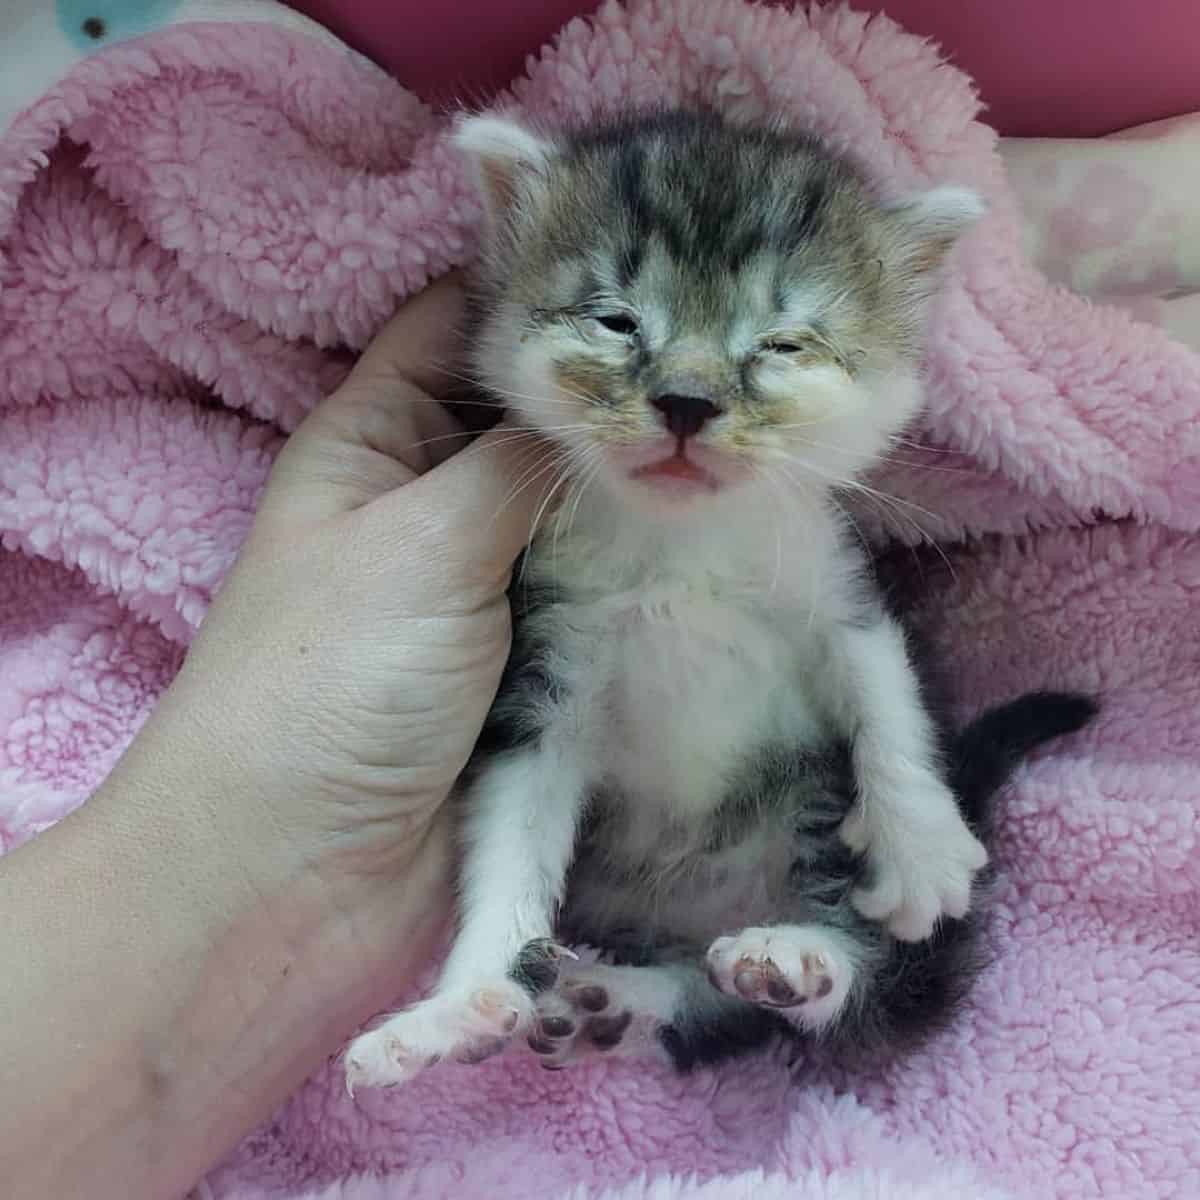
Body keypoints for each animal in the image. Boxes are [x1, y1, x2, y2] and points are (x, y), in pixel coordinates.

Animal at [343, 110, 1094, 1089]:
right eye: (617, 320)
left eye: (781, 343)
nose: (687, 402)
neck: (681, 547)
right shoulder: (549, 657)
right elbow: (512, 829)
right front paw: (461, 1005)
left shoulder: (834, 579)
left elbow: (884, 687)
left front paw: (920, 844)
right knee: (718, 1008)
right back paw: (614, 1000)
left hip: (813, 808)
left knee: (867, 992)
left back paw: (799, 956)